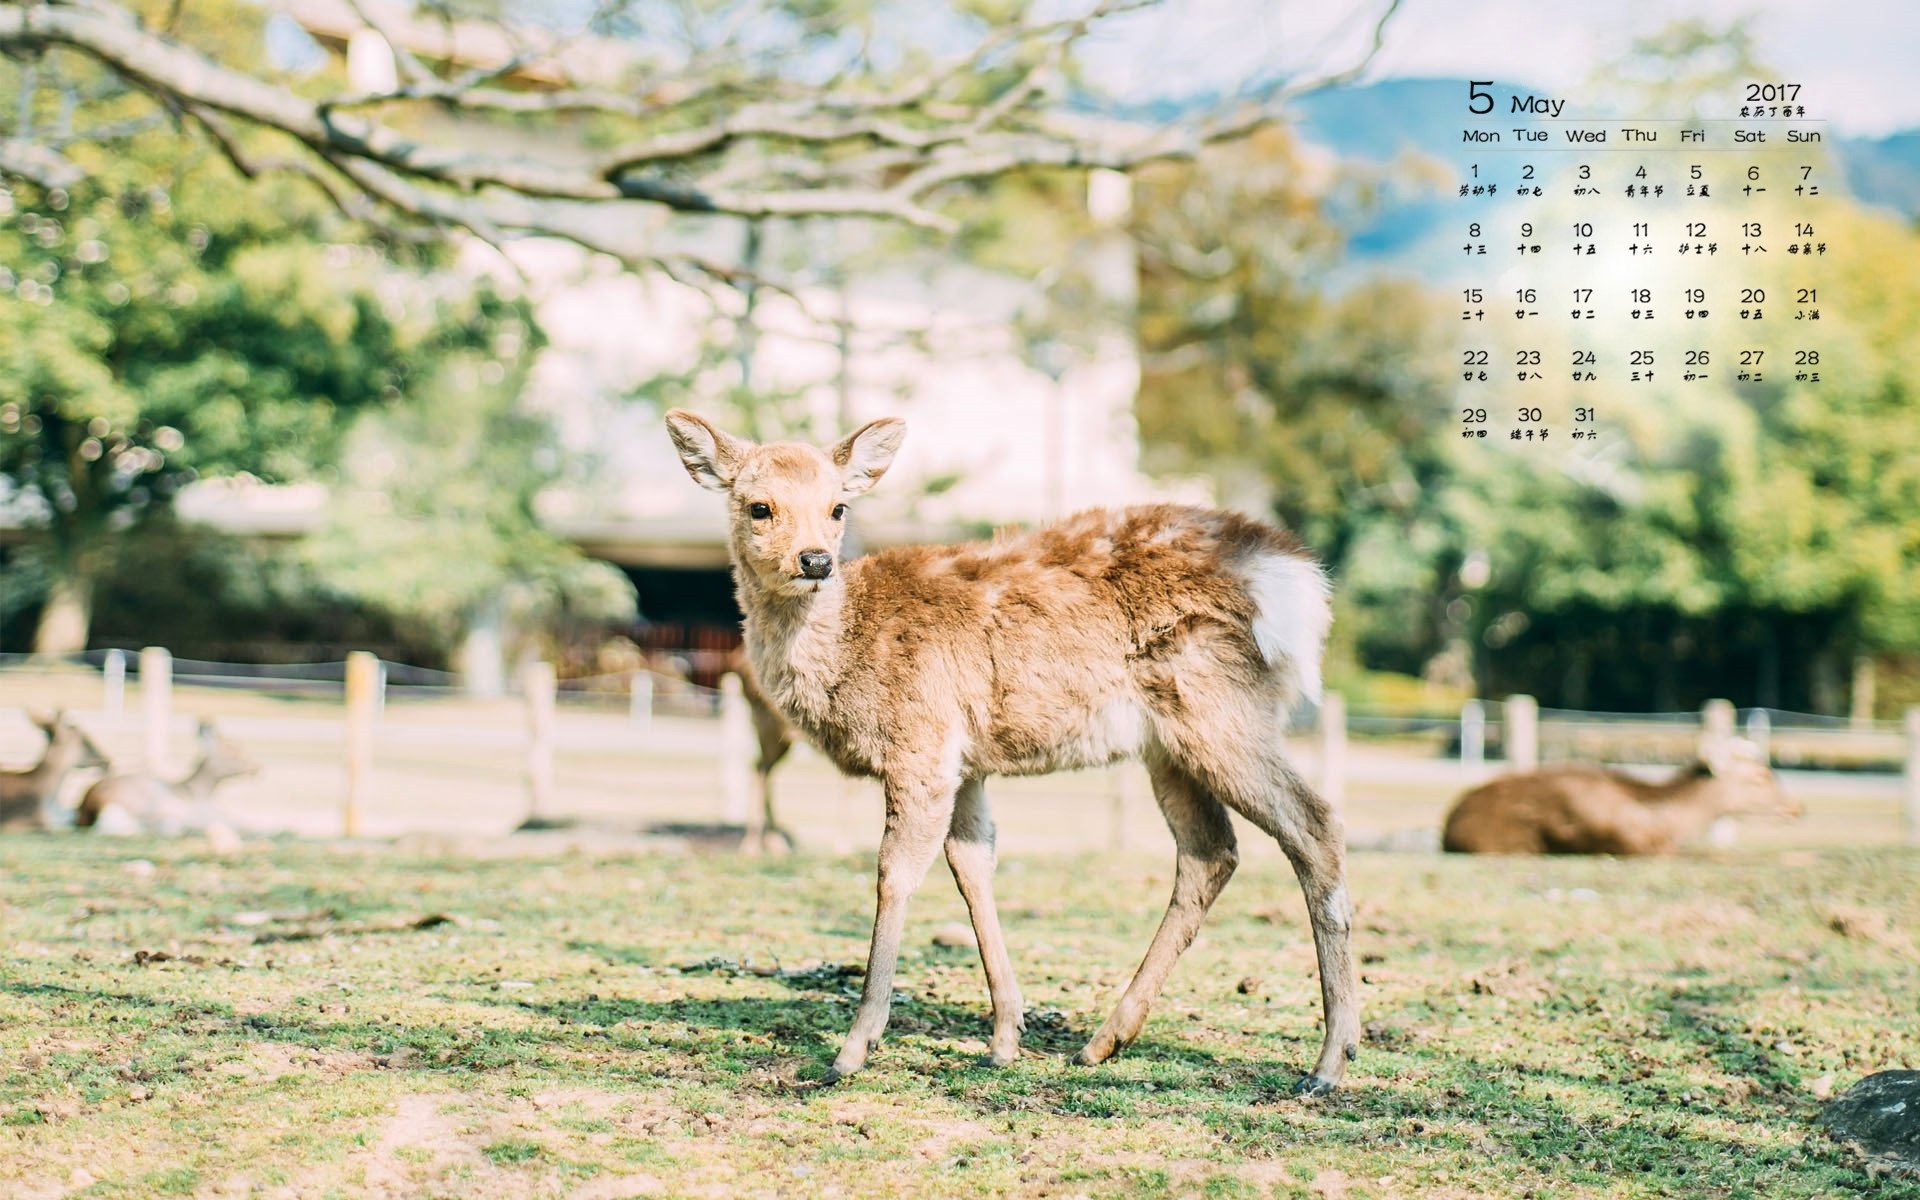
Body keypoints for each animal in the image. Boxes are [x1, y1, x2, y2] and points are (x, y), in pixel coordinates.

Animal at [75, 719, 260, 835]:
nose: (257, 768)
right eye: (232, 750)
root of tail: (91, 807)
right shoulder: (203, 810)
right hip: (154, 801)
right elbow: (242, 820)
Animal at [666, 410, 1358, 1094]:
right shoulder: (965, 763)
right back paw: (1104, 1040)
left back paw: (1328, 1061)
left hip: (1218, 708)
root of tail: (1301, 585)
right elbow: (972, 865)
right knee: (1211, 851)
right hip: (1170, 743)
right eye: (758, 506)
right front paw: (1004, 1037)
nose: (814, 560)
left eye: (839, 507)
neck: (847, 655)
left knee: (1314, 823)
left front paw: (854, 1049)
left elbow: (895, 872)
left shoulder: (921, 740)